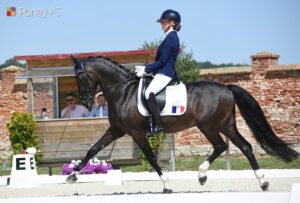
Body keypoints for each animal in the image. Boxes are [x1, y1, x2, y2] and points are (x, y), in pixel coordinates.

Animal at [67, 54, 298, 193]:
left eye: (81, 77)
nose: (86, 102)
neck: (123, 91)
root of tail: (226, 88)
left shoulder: (137, 133)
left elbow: (151, 158)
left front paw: (167, 185)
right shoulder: (116, 130)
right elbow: (93, 149)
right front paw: (72, 175)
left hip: (209, 126)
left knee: (221, 146)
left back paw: (203, 175)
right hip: (226, 125)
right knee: (244, 147)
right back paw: (262, 182)